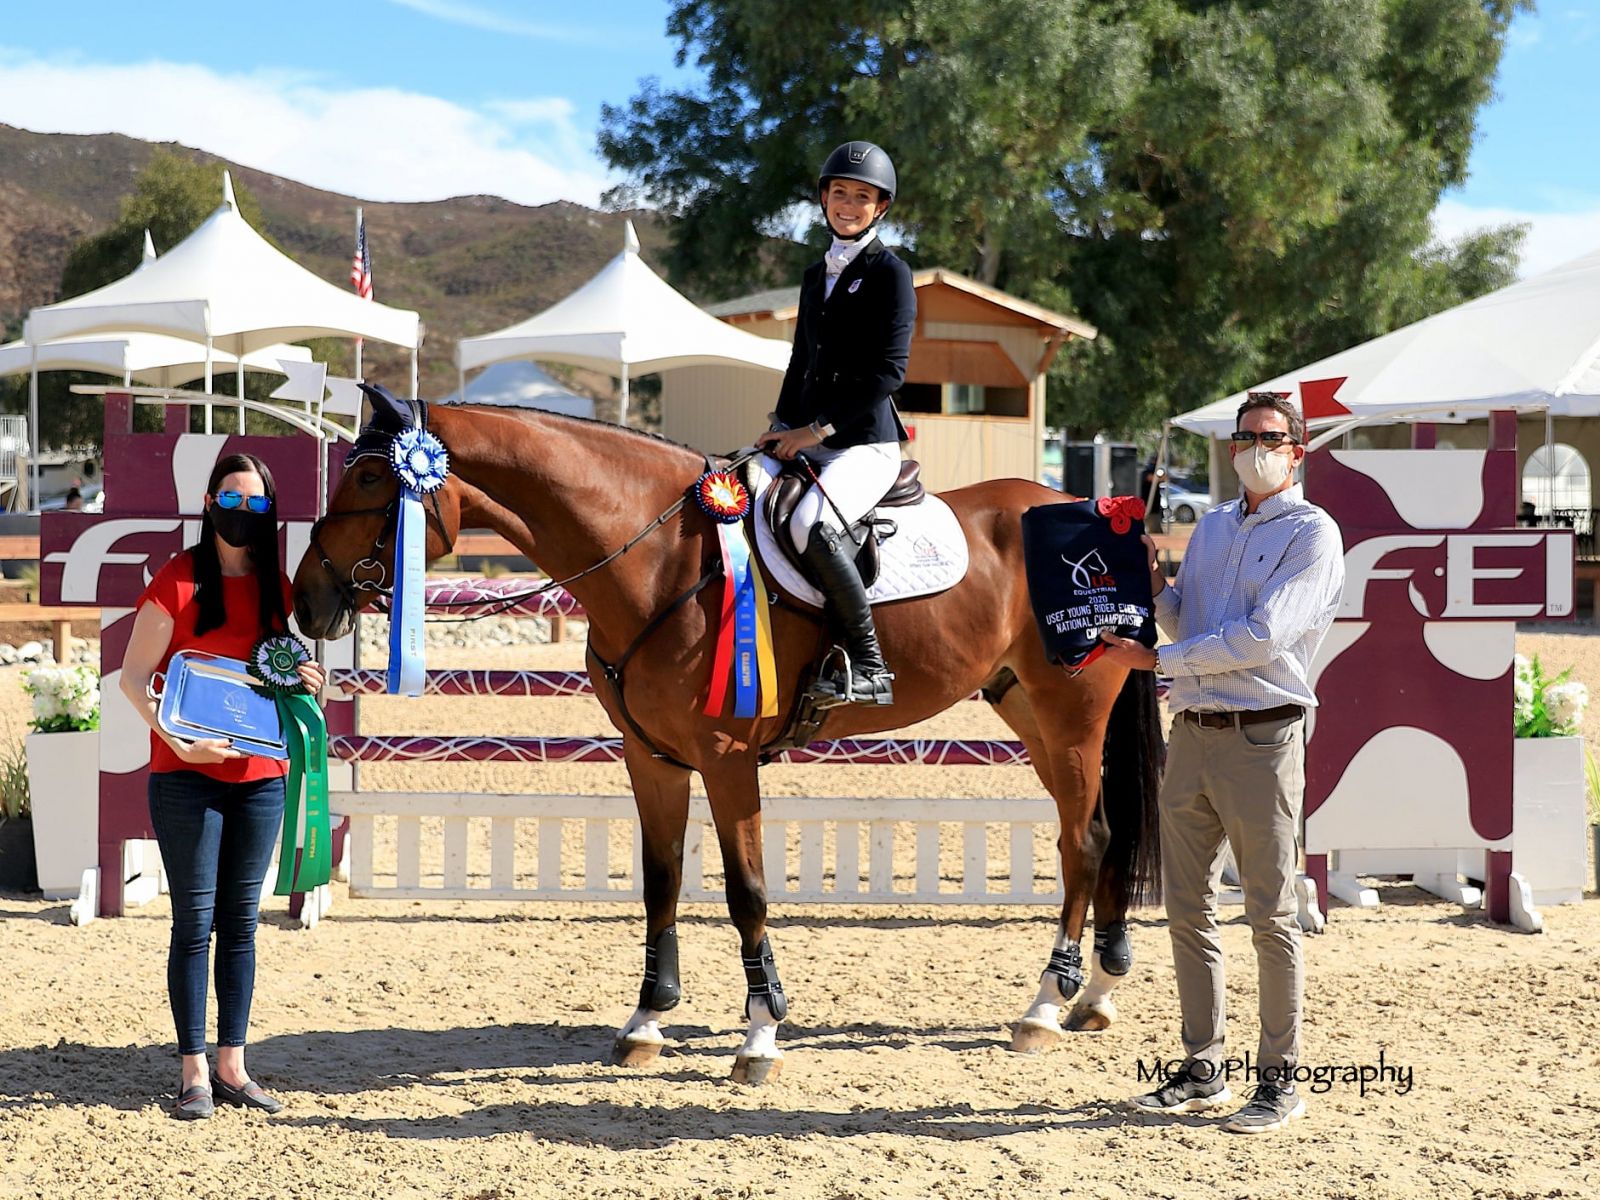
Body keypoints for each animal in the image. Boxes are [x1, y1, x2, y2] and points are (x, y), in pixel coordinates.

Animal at [292, 399, 1163, 1082]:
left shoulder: (727, 758)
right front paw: (646, 1022)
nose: (306, 601)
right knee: (1099, 834)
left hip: (1070, 715)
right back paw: (1093, 996)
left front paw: (760, 1035)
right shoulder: (651, 758)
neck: (656, 558)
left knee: (1084, 842)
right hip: (1028, 713)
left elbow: (746, 889)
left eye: (371, 480)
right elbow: (662, 880)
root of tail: (1108, 511)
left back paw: (1045, 1007)